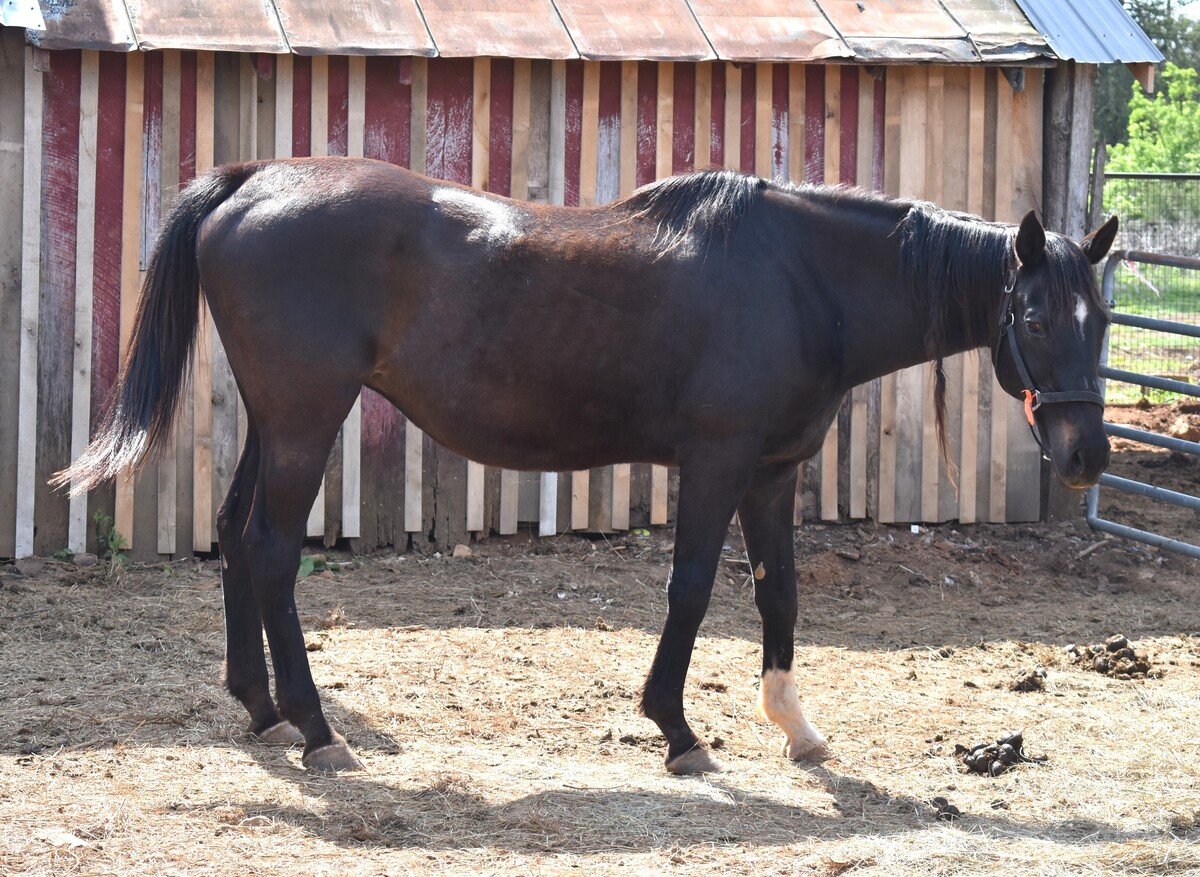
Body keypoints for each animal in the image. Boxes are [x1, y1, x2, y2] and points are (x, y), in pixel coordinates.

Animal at [57, 157, 1118, 775]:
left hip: (278, 422)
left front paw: (796, 728)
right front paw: (677, 731)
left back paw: (263, 712)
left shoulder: (773, 470)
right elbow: (691, 588)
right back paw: (319, 730)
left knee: (237, 538)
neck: (800, 279)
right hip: (307, 420)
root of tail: (251, 182)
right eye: (1031, 317)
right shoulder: (717, 459)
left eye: (1103, 317)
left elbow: (777, 594)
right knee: (274, 552)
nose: (1087, 456)